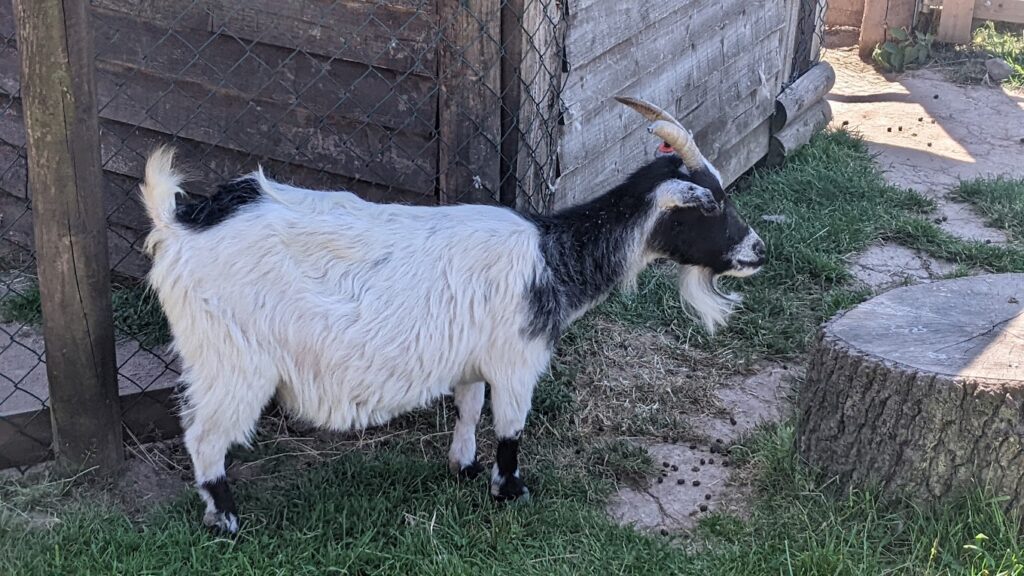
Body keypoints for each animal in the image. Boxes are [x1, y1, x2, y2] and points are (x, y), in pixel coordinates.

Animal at [139, 97, 766, 534]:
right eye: (713, 207)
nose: (758, 251)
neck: (552, 256)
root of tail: (180, 223)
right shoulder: (517, 360)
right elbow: (511, 428)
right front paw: (509, 492)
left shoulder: (473, 358)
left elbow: (469, 407)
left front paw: (463, 467)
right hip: (230, 359)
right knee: (204, 436)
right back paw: (225, 521)